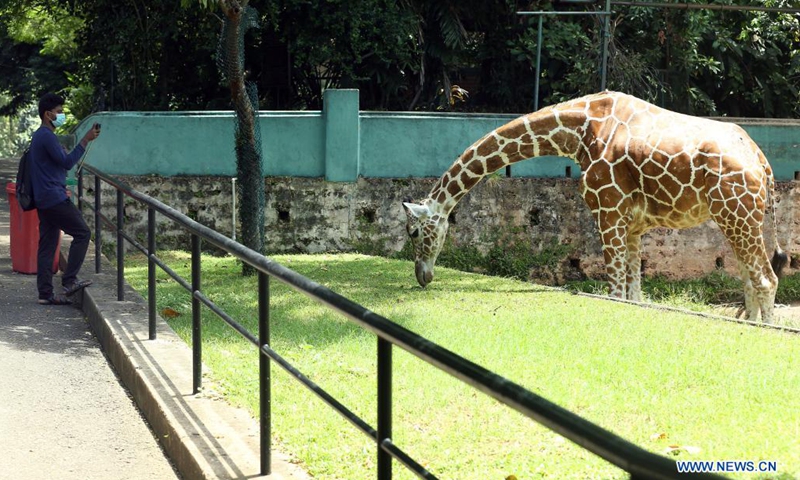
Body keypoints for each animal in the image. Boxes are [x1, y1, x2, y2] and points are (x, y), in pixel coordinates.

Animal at [404, 90, 784, 322]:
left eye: (413, 232)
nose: (423, 277)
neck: (579, 132)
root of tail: (763, 163)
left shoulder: (608, 211)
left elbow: (615, 290)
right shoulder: (633, 225)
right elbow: (633, 292)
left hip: (738, 214)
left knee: (766, 279)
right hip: (736, 218)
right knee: (750, 278)